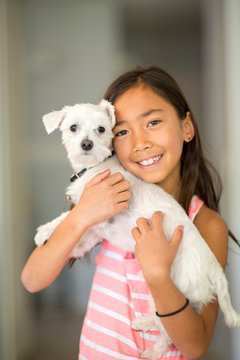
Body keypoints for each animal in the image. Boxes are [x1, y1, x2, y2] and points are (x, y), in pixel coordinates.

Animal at [35, 99, 240, 360]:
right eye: (73, 127)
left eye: (101, 129)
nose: (87, 144)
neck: (94, 168)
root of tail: (214, 267)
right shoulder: (94, 230)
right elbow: (75, 233)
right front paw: (54, 238)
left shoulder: (100, 213)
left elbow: (69, 215)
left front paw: (44, 230)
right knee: (161, 321)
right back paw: (145, 323)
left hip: (166, 286)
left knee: (168, 331)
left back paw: (153, 350)